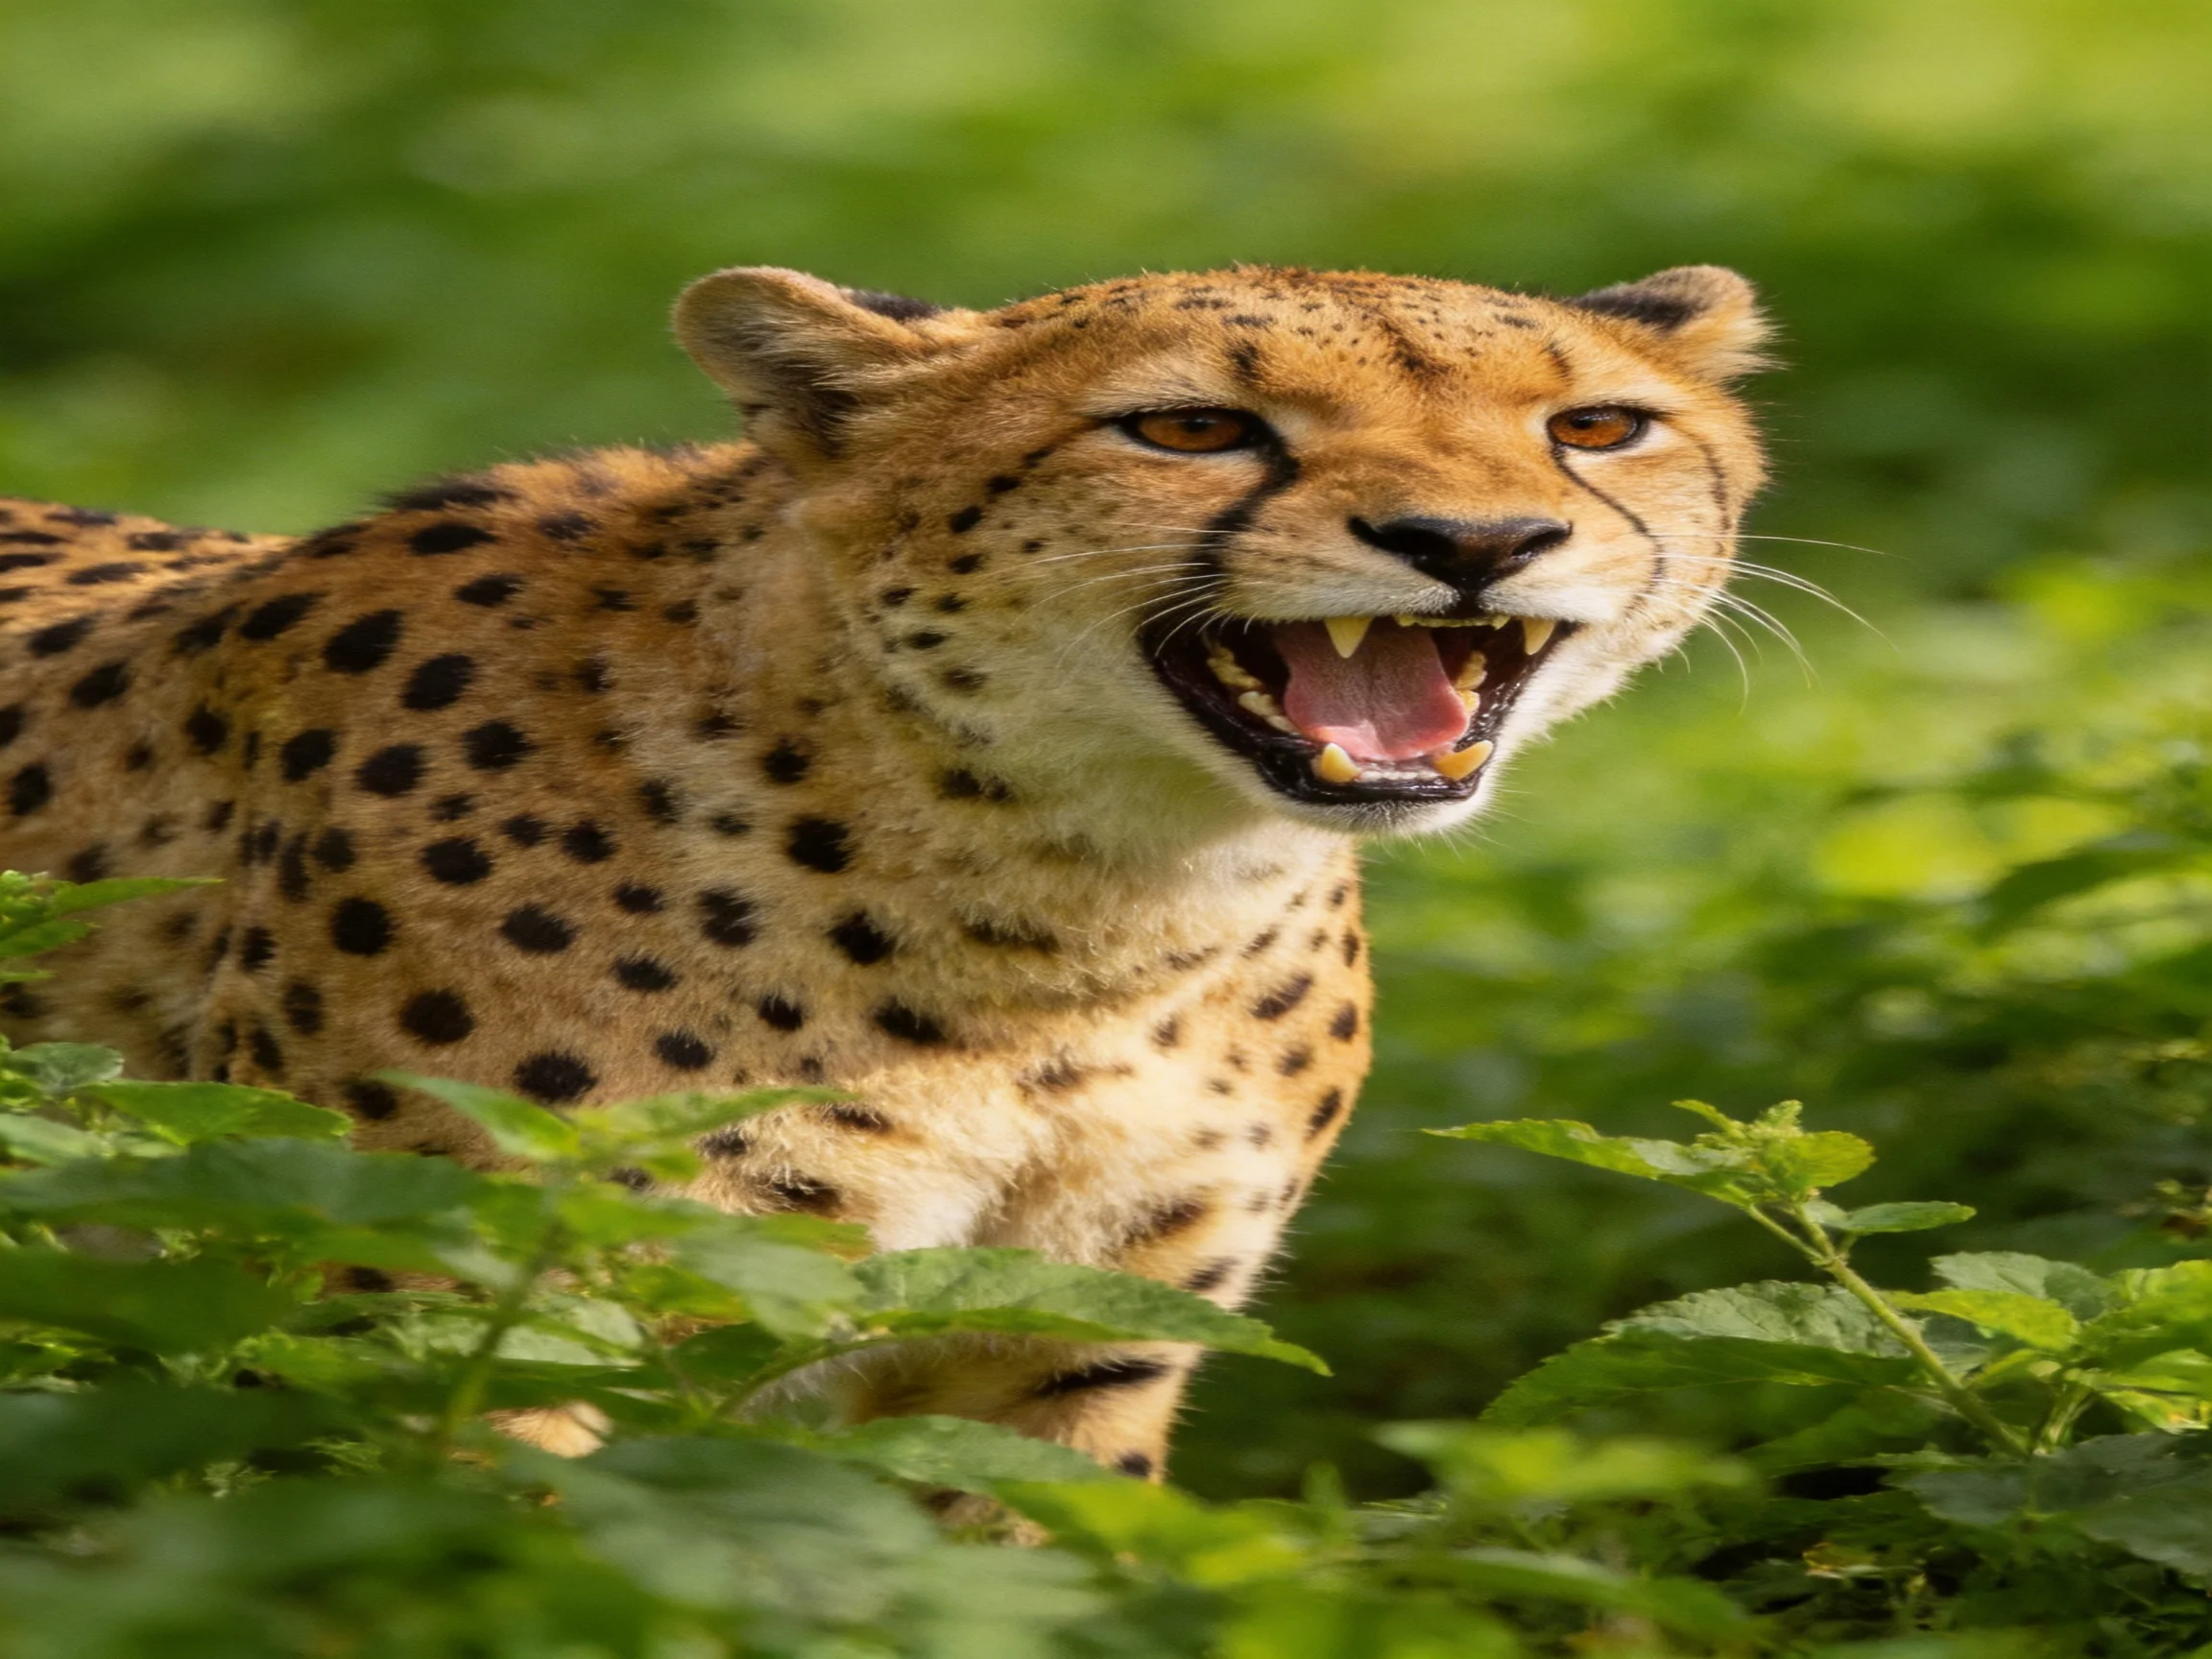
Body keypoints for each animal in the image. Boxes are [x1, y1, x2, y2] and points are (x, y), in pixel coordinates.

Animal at [0, 261, 1769, 1480]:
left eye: (1592, 424)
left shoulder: (1054, 1357)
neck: (1070, 923)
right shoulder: (443, 1334)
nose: (1474, 543)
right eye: (1191, 425)